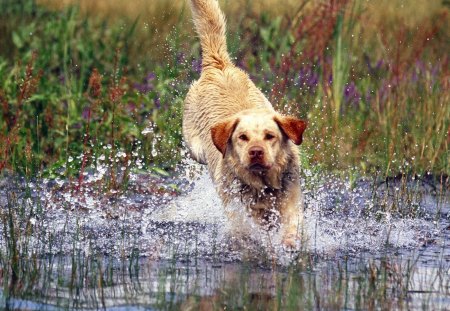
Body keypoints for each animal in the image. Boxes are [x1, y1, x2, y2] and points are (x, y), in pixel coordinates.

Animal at [182, 0, 306, 249]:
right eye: (242, 137)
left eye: (270, 136)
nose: (256, 152)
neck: (263, 185)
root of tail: (218, 65)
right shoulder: (238, 208)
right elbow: (248, 227)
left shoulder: (292, 197)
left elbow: (292, 223)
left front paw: (289, 242)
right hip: (195, 147)